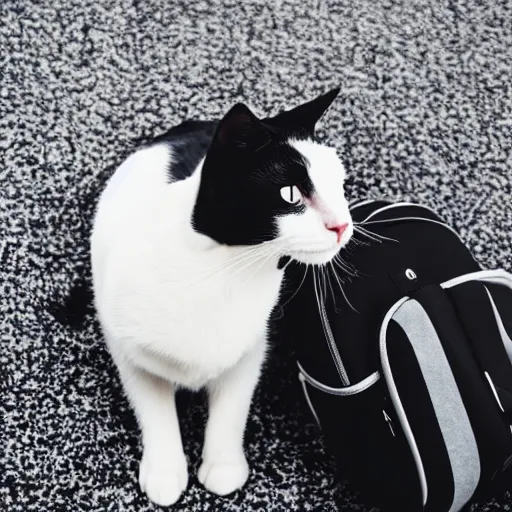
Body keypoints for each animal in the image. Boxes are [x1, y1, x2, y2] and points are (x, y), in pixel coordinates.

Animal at [90, 89, 354, 508]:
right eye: (291, 194)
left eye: (340, 188)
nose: (342, 225)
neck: (224, 271)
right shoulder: (129, 352)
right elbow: (155, 410)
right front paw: (165, 472)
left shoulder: (250, 348)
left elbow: (232, 408)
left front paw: (224, 467)